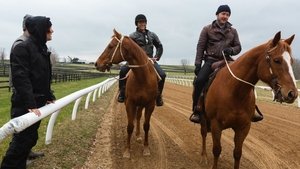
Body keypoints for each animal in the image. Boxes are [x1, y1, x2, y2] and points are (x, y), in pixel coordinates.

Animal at [95, 29, 158, 158]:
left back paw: (138, 136)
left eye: (110, 46)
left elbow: (146, 126)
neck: (142, 78)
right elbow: (129, 126)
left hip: (142, 104)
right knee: (136, 118)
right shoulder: (130, 103)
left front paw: (146, 148)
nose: (97, 63)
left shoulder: (150, 105)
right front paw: (127, 150)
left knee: (138, 117)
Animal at [199, 31, 298, 168]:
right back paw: (203, 156)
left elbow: (237, 153)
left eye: (291, 61)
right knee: (203, 133)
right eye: (277, 60)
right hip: (203, 117)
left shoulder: (244, 127)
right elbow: (217, 150)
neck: (235, 92)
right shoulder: (215, 124)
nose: (292, 94)